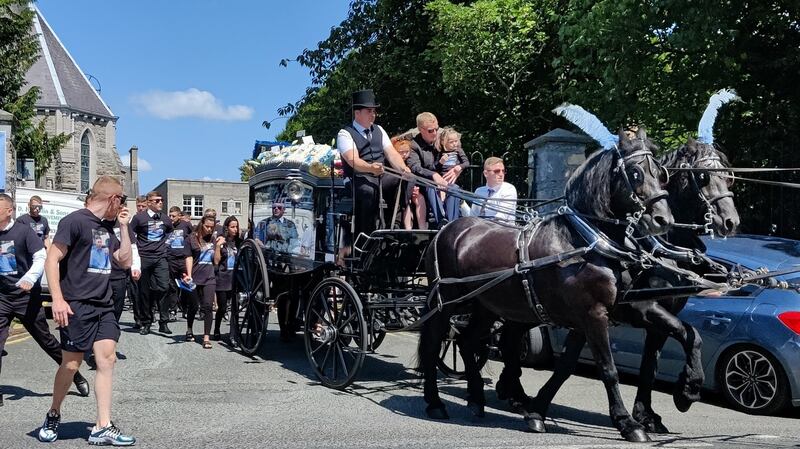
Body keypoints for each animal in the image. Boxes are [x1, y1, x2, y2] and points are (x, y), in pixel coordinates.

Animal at [422, 127, 672, 440]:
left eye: (661, 173)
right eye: (636, 172)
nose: (663, 219)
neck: (582, 240)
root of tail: (447, 229)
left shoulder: (586, 318)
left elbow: (564, 368)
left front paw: (536, 413)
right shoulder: (594, 314)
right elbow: (608, 368)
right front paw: (628, 423)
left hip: (486, 306)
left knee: (467, 342)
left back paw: (476, 399)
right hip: (446, 302)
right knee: (433, 344)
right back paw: (434, 402)